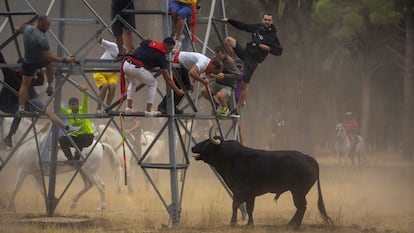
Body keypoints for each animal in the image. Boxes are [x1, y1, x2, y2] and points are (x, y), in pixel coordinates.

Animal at [192, 135, 334, 228]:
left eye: (206, 143)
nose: (193, 147)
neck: (233, 158)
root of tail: (309, 158)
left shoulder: (240, 191)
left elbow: (235, 205)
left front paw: (233, 222)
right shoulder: (250, 194)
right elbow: (249, 208)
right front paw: (249, 223)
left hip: (298, 191)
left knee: (302, 206)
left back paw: (295, 226)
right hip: (297, 192)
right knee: (300, 207)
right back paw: (290, 224)